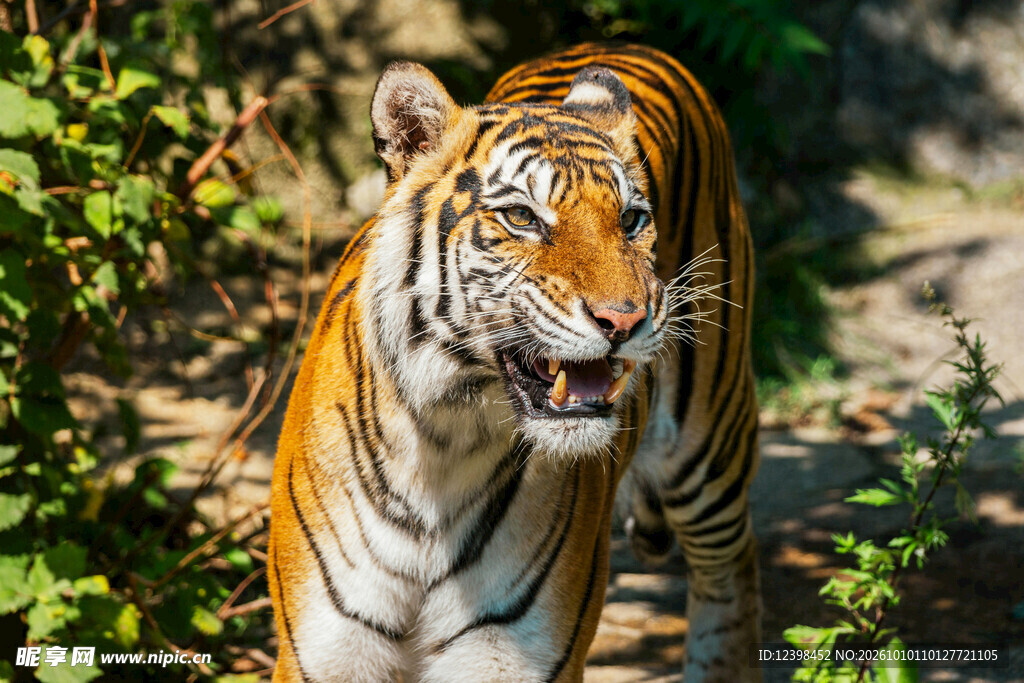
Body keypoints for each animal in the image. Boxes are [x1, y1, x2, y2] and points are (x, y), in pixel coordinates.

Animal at [268, 42, 760, 682]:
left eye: (630, 219)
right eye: (522, 218)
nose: (625, 320)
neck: (446, 440)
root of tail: (630, 45)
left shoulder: (517, 656)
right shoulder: (324, 653)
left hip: (708, 449)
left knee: (732, 575)